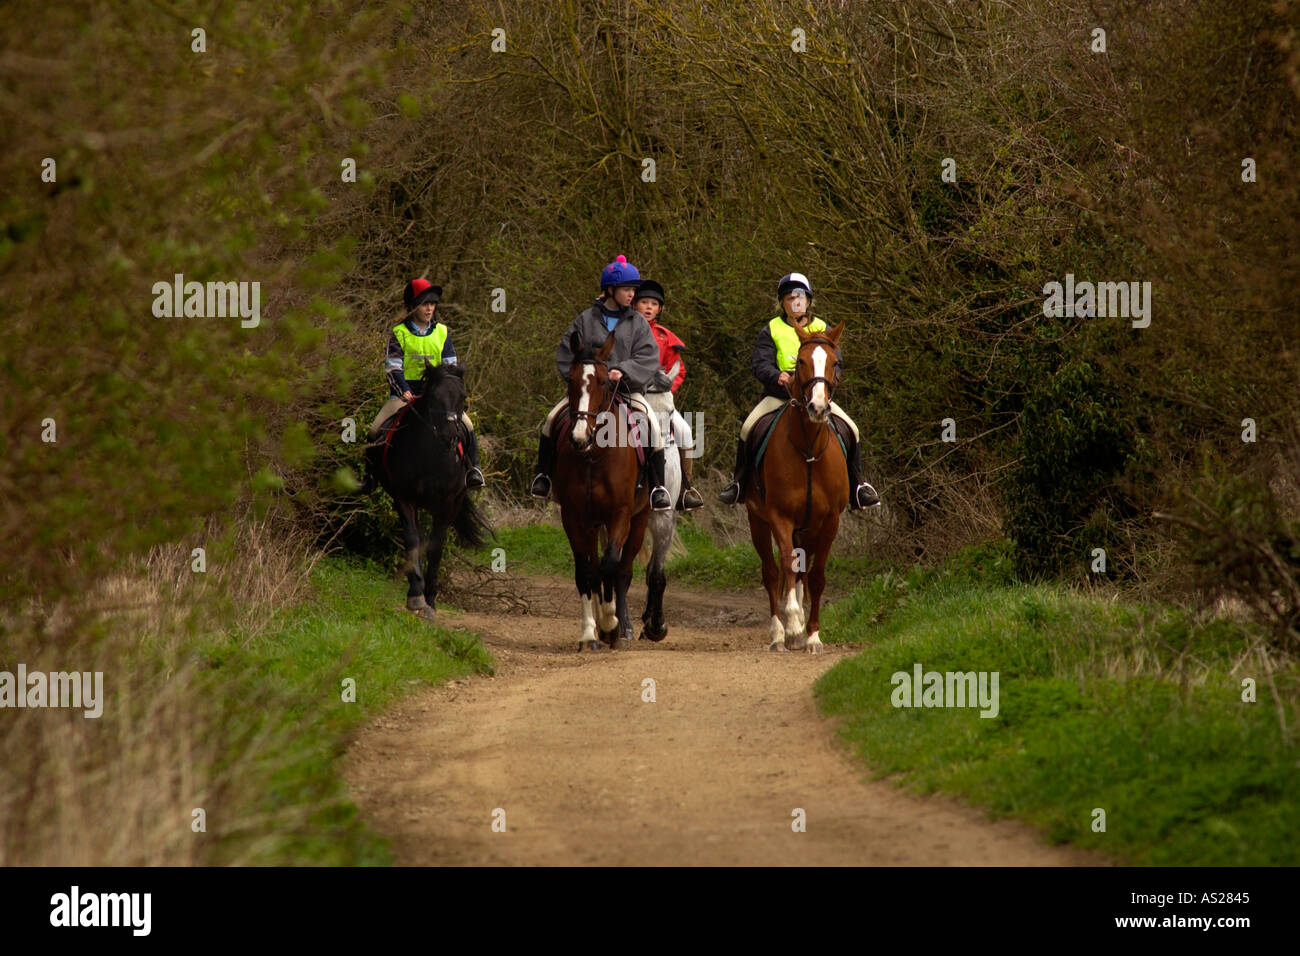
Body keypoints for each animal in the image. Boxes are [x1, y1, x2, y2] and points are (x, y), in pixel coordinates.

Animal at [364, 361, 490, 620]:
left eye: (462, 396)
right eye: (434, 397)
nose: (451, 437)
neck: (430, 454)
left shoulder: (446, 504)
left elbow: (435, 548)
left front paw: (430, 601)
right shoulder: (403, 497)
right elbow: (413, 541)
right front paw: (416, 596)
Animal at [553, 330, 652, 651]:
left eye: (602, 381)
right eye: (570, 380)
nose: (579, 437)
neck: (593, 455)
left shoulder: (619, 514)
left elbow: (611, 565)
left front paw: (610, 623)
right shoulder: (573, 518)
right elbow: (586, 573)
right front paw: (589, 633)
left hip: (639, 518)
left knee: (621, 570)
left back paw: (621, 628)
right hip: (592, 524)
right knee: (594, 570)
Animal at [745, 320, 849, 653]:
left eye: (835, 363)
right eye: (800, 362)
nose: (817, 407)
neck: (808, 450)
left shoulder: (829, 521)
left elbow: (816, 576)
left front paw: (813, 635)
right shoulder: (780, 517)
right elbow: (787, 568)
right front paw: (792, 624)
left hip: (808, 528)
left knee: (802, 571)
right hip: (759, 521)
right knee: (772, 571)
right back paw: (779, 634)